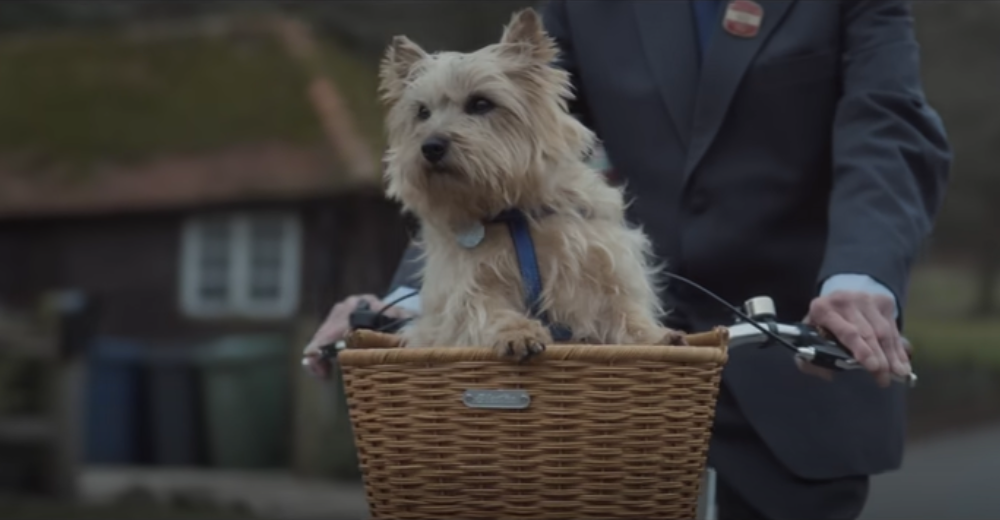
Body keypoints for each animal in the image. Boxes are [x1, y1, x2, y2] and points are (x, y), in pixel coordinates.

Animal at [376, 8, 688, 360]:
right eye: (422, 112)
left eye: (481, 103)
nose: (430, 147)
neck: (513, 211)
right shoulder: (466, 287)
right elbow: (486, 310)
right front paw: (519, 334)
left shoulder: (599, 263)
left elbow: (622, 307)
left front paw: (655, 335)